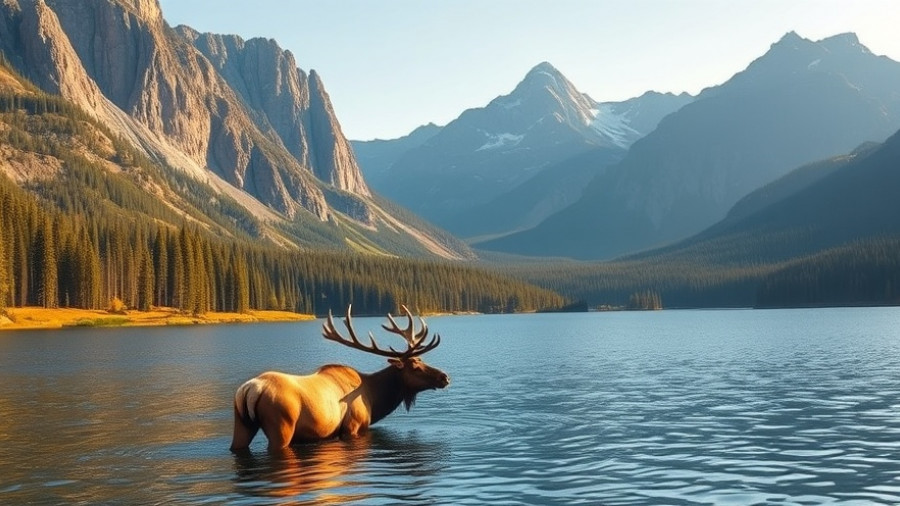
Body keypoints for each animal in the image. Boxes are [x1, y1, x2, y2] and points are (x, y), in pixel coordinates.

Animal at [230, 305, 450, 452]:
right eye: (415, 367)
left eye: (421, 360)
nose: (444, 377)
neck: (374, 398)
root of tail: (252, 388)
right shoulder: (354, 427)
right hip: (281, 425)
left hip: (241, 423)